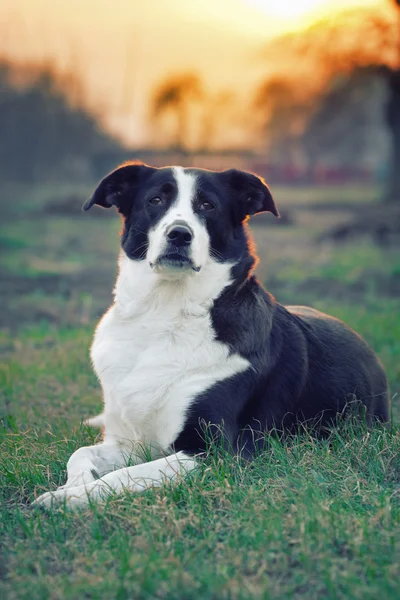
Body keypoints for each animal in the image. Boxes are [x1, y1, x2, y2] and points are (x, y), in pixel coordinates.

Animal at [32, 162, 390, 508]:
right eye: (155, 201)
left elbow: (123, 476)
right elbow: (81, 454)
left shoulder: (213, 451)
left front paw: (69, 498)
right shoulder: (130, 442)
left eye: (207, 205)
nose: (179, 234)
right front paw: (74, 485)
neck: (164, 312)